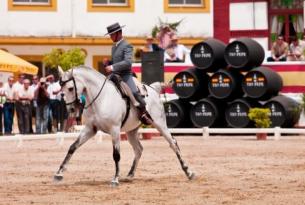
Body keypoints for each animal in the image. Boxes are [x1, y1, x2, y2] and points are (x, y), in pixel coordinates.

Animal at [53, 65, 194, 186]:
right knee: (138, 149)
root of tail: (153, 89)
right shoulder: (90, 129)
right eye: (61, 90)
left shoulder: (114, 130)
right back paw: (130, 174)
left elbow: (116, 155)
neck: (101, 99)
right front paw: (59, 173)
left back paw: (188, 171)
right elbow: (72, 147)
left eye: (70, 88)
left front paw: (115, 179)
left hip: (160, 124)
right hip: (131, 131)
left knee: (173, 143)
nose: (71, 109)